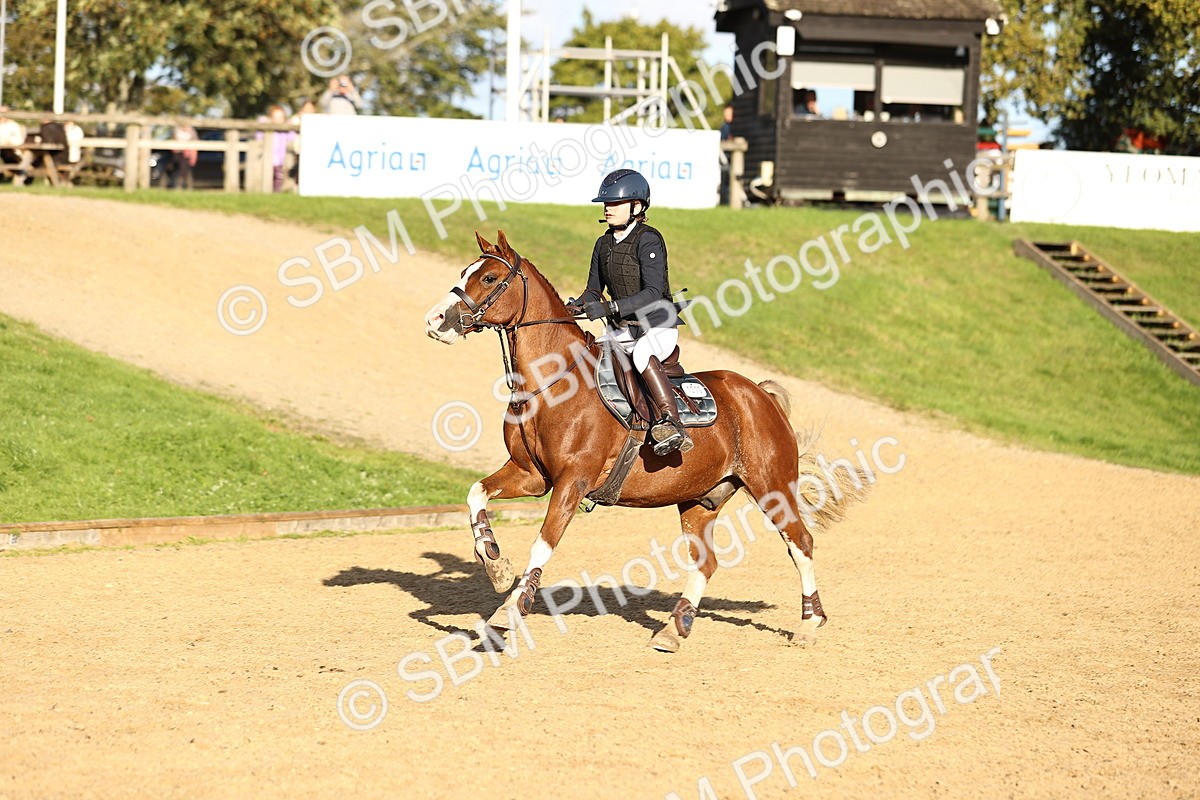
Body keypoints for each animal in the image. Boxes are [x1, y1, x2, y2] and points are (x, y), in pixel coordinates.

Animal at [424, 231, 866, 651]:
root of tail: (760, 395)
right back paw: (674, 630)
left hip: (771, 487)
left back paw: (809, 625)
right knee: (706, 564)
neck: (552, 384)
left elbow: (542, 545)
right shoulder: (532, 476)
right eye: (465, 272)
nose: (435, 320)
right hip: (698, 500)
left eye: (488, 278)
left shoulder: (571, 482)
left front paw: (509, 611)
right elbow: (477, 495)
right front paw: (496, 566)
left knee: (801, 544)